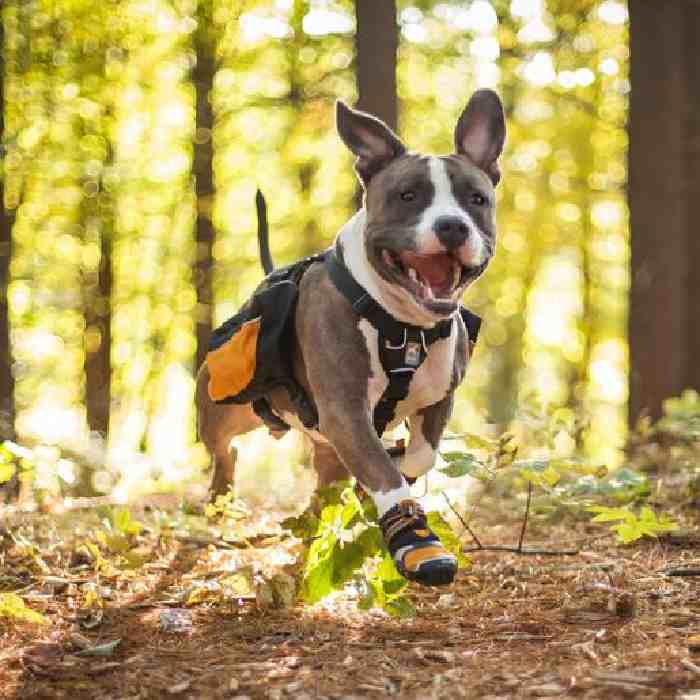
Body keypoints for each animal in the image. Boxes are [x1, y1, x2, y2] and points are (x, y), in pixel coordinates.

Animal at [194, 91, 506, 584]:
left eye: (476, 199)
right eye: (407, 195)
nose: (452, 225)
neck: (401, 323)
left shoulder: (439, 398)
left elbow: (417, 458)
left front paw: (396, 466)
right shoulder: (346, 411)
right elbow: (386, 475)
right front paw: (415, 539)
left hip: (321, 444)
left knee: (323, 480)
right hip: (222, 410)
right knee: (225, 452)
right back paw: (222, 500)